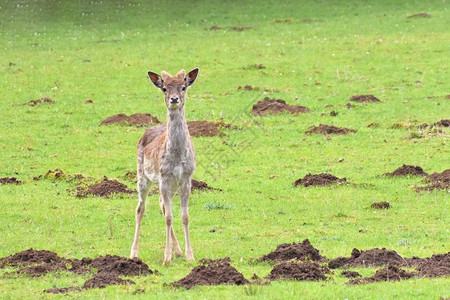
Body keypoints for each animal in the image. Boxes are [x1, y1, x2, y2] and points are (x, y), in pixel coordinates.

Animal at [131, 67, 200, 264]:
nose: (174, 99)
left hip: (171, 186)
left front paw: (189, 255)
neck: (177, 157)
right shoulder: (164, 177)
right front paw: (166, 258)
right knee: (140, 209)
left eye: (183, 87)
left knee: (161, 203)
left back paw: (178, 250)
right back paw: (134, 253)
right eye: (164, 89)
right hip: (142, 176)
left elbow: (185, 216)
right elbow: (169, 217)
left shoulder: (186, 179)